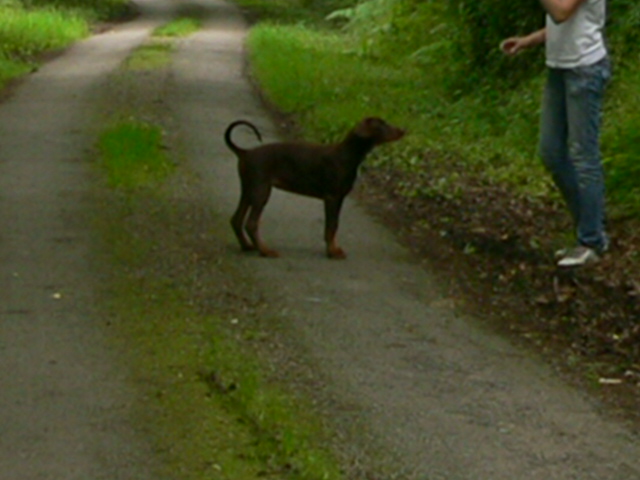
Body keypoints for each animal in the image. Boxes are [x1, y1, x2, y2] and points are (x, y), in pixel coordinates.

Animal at [225, 117, 404, 258]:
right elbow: (332, 226)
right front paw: (332, 252)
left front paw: (333, 249)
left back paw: (246, 246)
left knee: (236, 219)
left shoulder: (338, 198)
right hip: (261, 191)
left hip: (248, 189)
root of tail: (245, 153)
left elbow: (333, 226)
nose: (404, 130)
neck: (347, 155)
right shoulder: (332, 197)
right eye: (382, 125)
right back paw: (265, 251)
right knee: (251, 223)